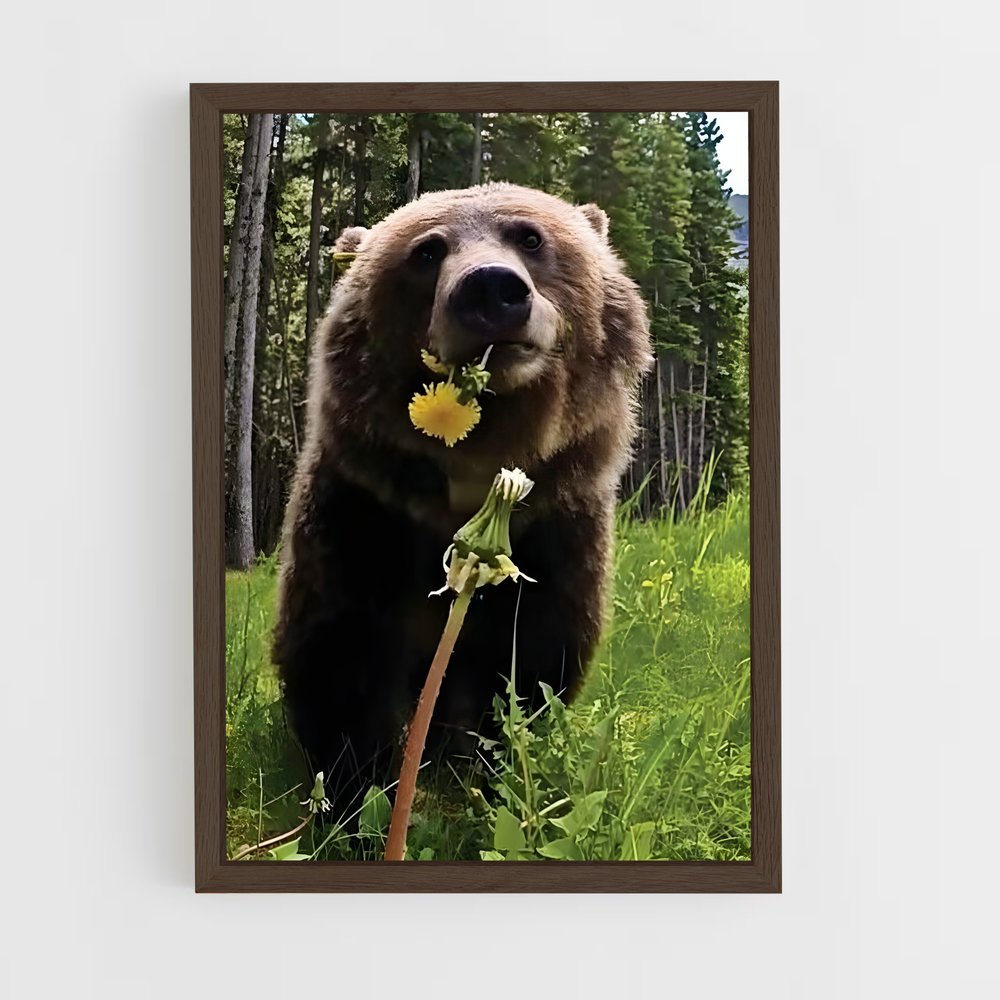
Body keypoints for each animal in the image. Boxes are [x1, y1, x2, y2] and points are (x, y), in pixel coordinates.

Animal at [273, 182, 652, 813]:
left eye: (529, 236)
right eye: (426, 251)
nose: (491, 288)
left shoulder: (556, 528)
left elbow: (528, 661)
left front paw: (488, 771)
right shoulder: (362, 513)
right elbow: (339, 650)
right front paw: (360, 789)